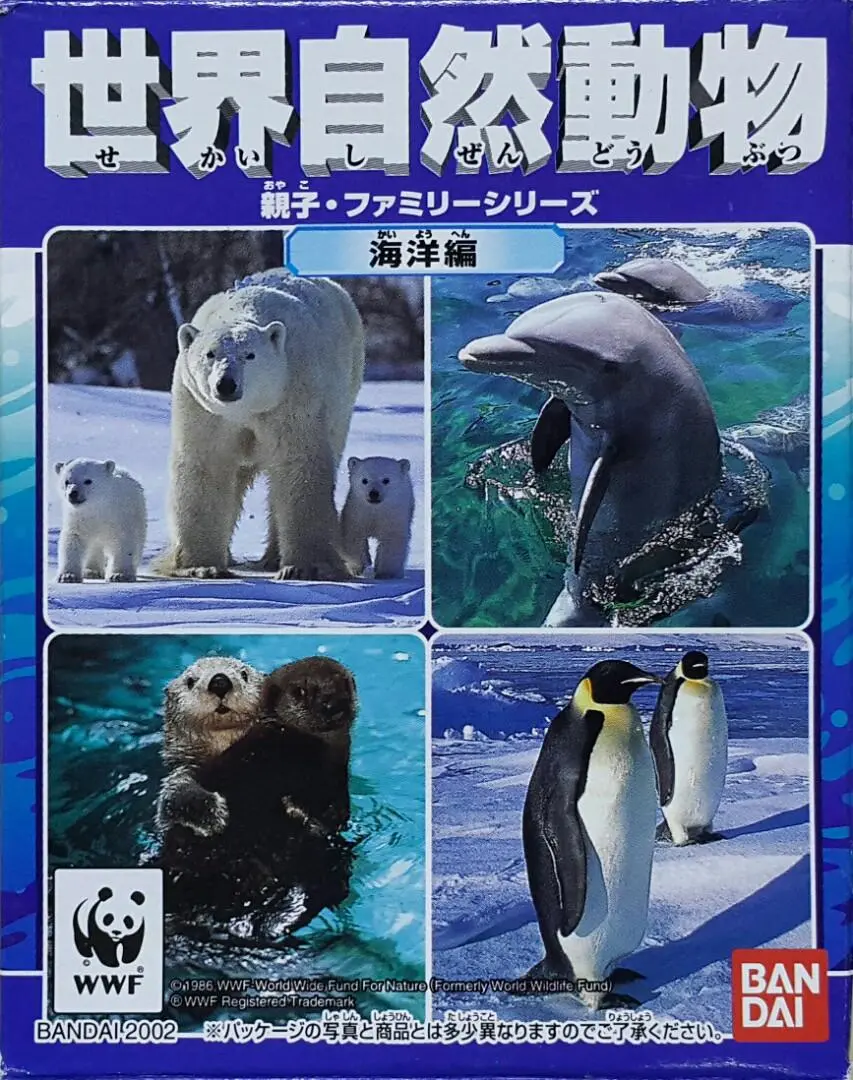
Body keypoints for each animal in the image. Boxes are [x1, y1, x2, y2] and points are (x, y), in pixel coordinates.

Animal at [153, 270, 365, 583]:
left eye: (250, 355)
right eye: (210, 354)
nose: (226, 384)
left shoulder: (292, 393)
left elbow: (298, 465)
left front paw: (308, 566)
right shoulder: (202, 409)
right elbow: (205, 465)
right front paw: (201, 566)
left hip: (344, 395)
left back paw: (274, 557)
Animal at [154, 656, 357, 939]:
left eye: (243, 674)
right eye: (191, 681)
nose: (219, 681)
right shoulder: (183, 774)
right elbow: (176, 798)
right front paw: (212, 816)